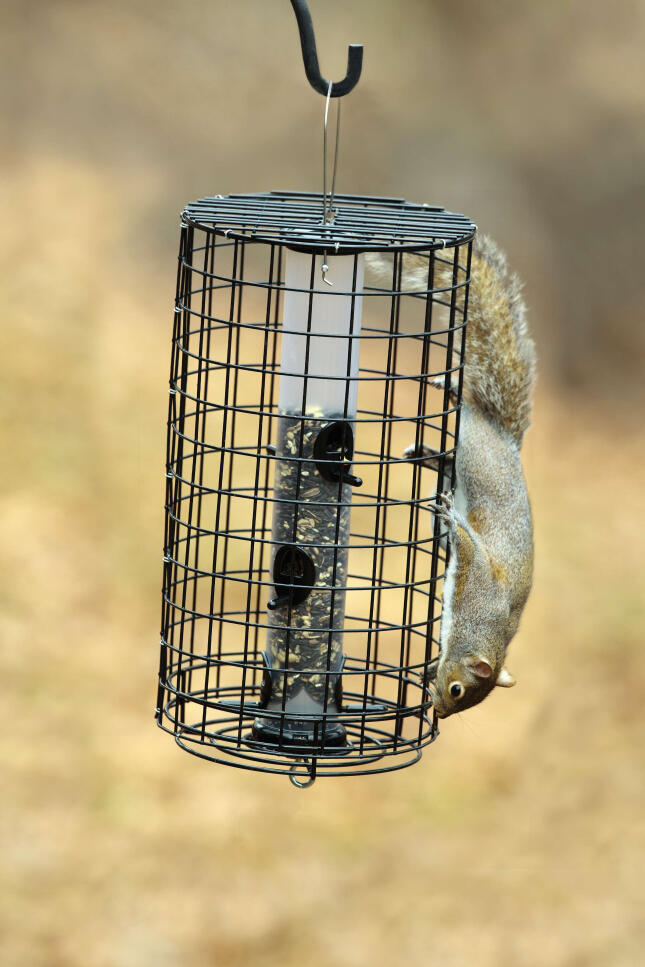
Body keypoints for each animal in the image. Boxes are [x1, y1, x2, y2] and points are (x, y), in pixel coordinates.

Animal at [366, 234, 536, 718]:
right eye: (460, 690)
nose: (439, 712)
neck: (485, 627)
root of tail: (504, 438)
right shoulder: (478, 582)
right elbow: (469, 547)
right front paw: (449, 521)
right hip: (470, 442)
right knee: (464, 413)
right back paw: (450, 389)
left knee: (446, 461)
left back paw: (425, 455)